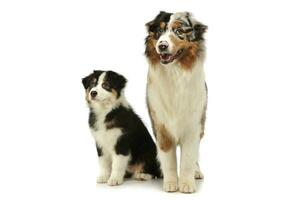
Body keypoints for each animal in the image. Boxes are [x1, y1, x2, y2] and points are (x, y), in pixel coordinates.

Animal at [145, 11, 206, 193]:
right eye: (159, 31)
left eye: (179, 31)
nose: (162, 46)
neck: (174, 73)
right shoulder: (161, 126)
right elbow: (168, 159)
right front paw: (171, 183)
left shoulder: (193, 126)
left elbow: (188, 158)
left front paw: (186, 184)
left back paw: (196, 172)